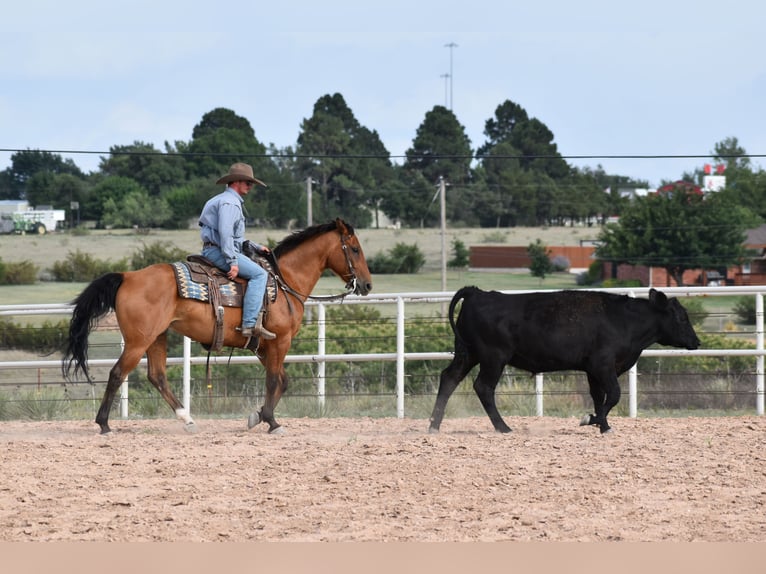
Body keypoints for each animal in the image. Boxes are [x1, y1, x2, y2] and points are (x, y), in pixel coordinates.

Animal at [62, 218, 373, 435]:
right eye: (355, 249)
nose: (367, 285)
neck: (284, 282)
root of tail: (127, 276)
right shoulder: (280, 340)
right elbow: (275, 381)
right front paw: (272, 421)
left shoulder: (264, 346)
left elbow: (282, 381)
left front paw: (257, 416)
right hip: (139, 340)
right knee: (117, 373)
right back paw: (104, 424)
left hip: (157, 337)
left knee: (157, 376)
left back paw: (187, 419)